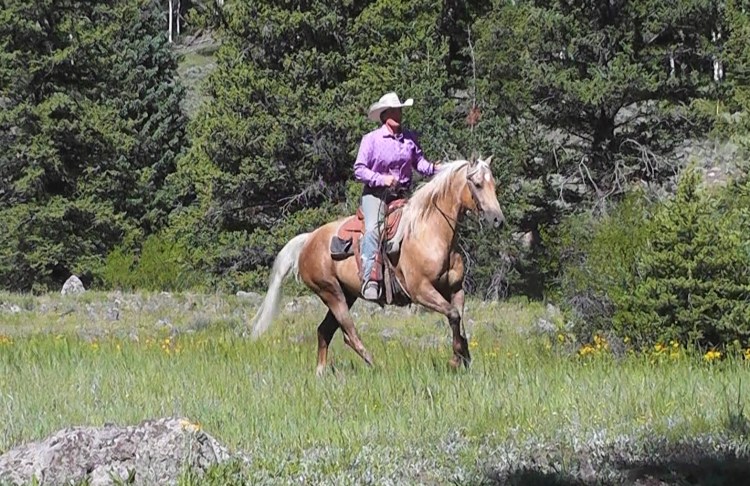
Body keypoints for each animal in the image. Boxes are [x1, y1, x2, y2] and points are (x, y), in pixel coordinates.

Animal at [248, 156, 505, 375]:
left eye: (494, 184)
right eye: (477, 184)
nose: (498, 220)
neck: (429, 232)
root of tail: (309, 239)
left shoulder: (455, 289)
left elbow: (458, 320)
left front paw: (463, 357)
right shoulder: (421, 291)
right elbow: (453, 315)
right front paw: (456, 360)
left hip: (347, 294)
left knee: (324, 331)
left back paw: (321, 372)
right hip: (331, 293)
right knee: (348, 333)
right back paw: (375, 364)